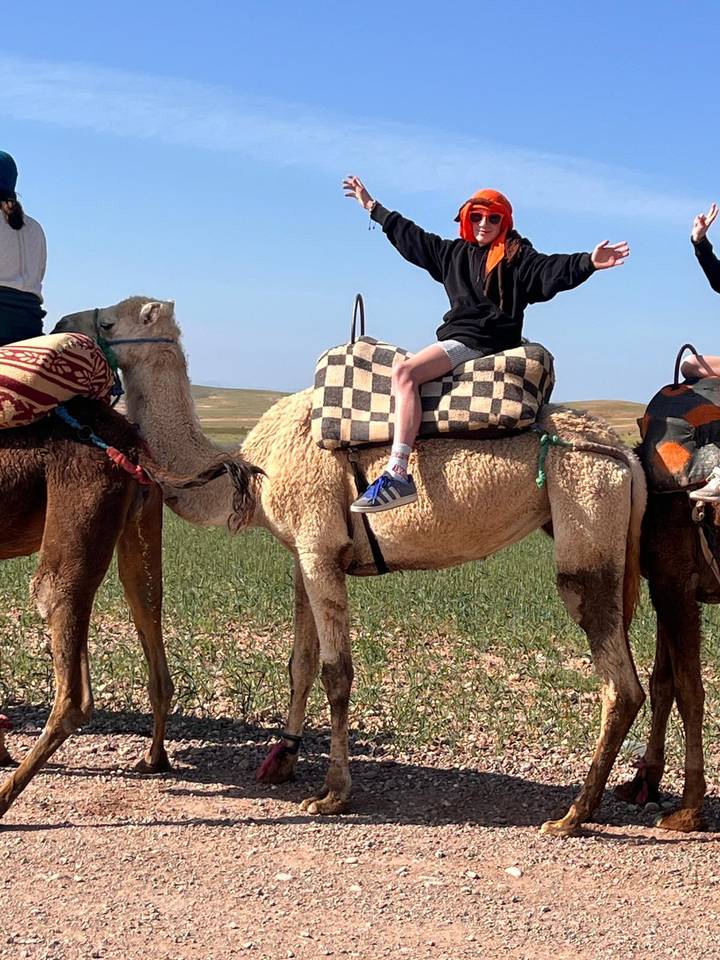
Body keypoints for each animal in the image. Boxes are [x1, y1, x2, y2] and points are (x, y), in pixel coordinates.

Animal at [0, 395, 259, 819]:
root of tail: (130, 447)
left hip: (70, 538)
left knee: (73, 694)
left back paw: (5, 800)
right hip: (140, 526)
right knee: (153, 639)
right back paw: (155, 759)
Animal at [55, 296, 648, 836]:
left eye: (108, 320)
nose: (62, 321)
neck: (255, 469)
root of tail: (625, 456)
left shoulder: (320, 548)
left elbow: (336, 672)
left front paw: (333, 794)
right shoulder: (303, 554)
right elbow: (299, 663)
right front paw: (281, 760)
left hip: (586, 520)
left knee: (619, 680)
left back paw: (573, 814)